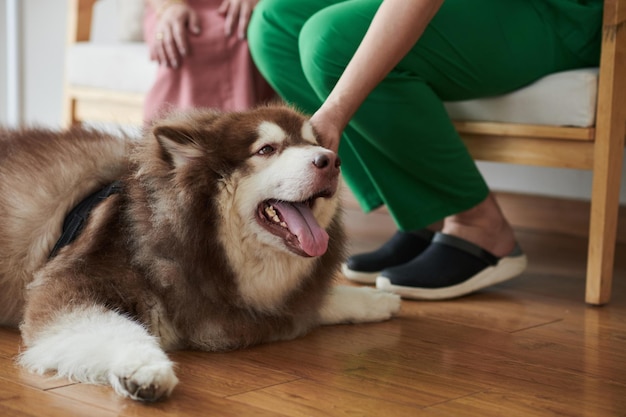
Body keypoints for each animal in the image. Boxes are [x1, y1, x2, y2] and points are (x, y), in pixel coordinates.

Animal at [0, 103, 400, 400]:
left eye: (313, 142)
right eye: (266, 149)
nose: (330, 160)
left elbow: (314, 304)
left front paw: (376, 300)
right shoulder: (69, 287)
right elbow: (118, 329)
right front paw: (144, 368)